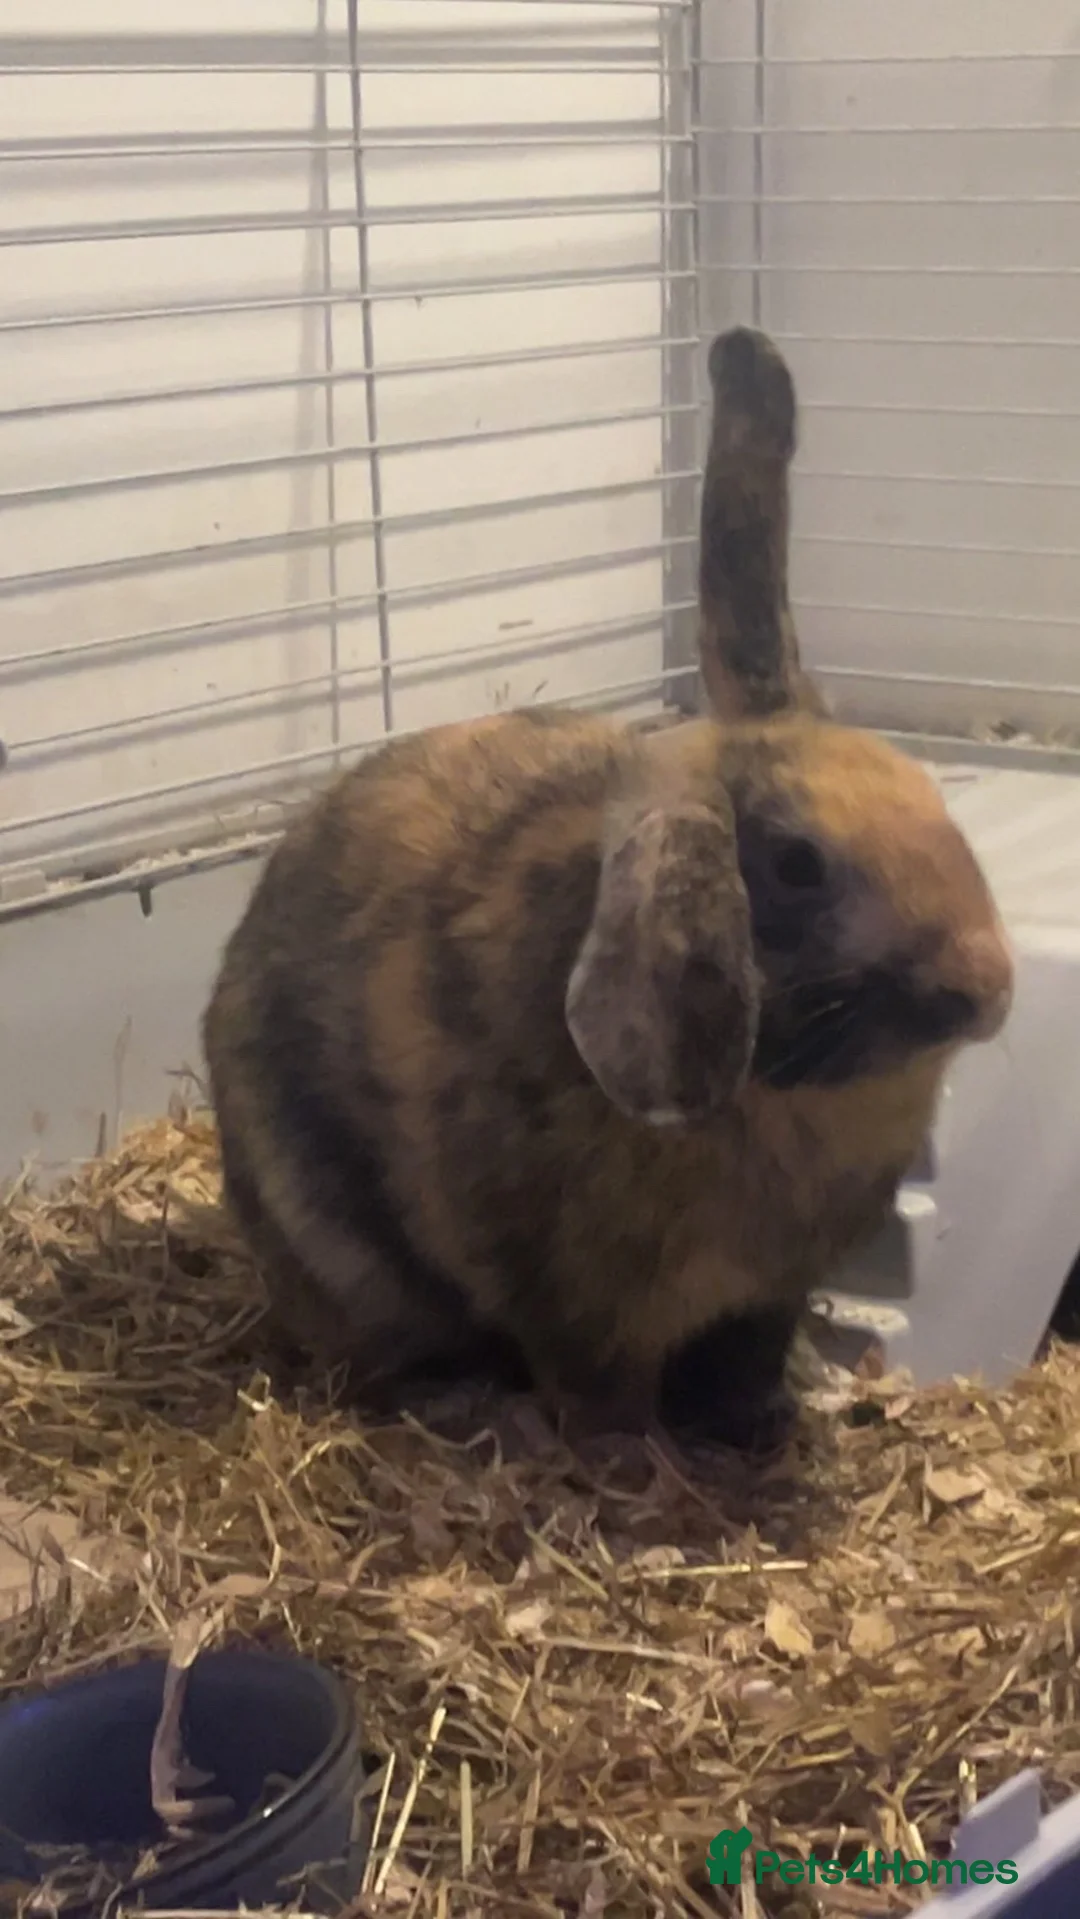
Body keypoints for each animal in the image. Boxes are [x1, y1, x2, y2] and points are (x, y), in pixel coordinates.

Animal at [202, 326, 1013, 1453]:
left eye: (936, 799)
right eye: (797, 863)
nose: (987, 988)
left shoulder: (767, 1295)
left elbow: (749, 1361)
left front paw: (764, 1421)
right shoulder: (575, 1304)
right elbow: (598, 1390)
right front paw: (633, 1457)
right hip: (343, 1252)